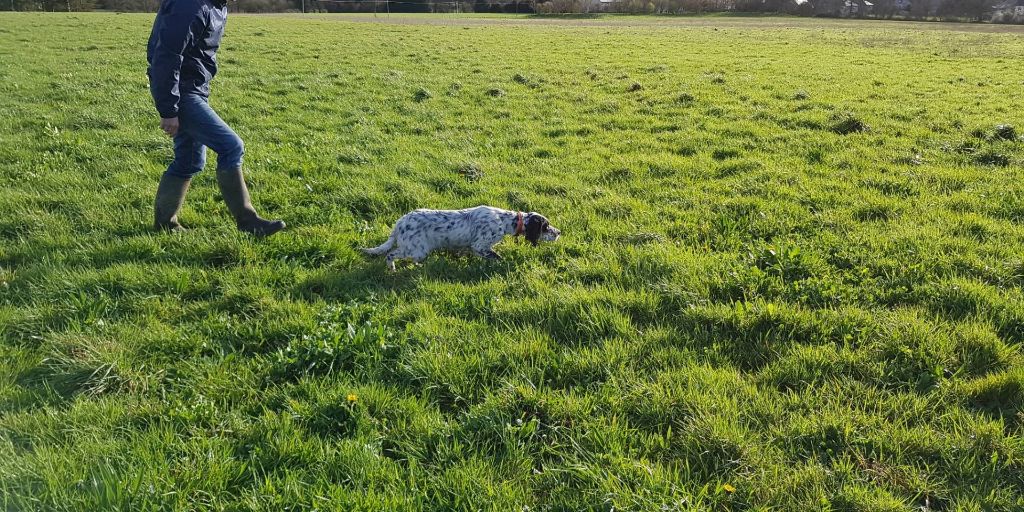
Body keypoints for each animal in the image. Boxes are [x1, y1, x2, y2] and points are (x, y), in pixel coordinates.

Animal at [364, 204, 565, 272]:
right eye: (546, 227)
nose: (559, 232)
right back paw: (392, 269)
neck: (505, 221)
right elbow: (497, 257)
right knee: (390, 254)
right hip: (417, 249)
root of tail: (400, 222)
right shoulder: (479, 245)